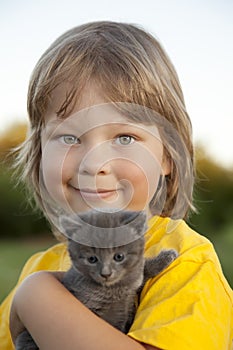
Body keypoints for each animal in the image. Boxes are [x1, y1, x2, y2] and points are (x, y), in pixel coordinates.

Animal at [15, 209, 178, 348]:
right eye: (92, 259)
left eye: (119, 256)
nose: (106, 274)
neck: (114, 290)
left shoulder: (131, 289)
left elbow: (140, 272)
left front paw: (165, 258)